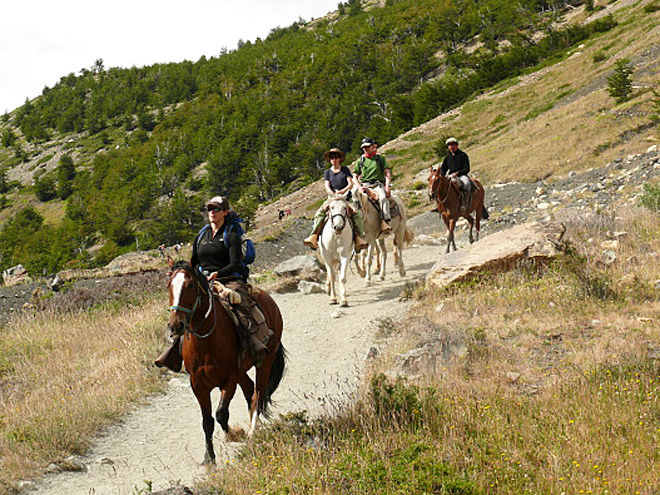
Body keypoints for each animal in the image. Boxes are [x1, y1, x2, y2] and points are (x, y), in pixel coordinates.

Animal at [166, 260, 284, 464]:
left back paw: (253, 431)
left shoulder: (228, 380)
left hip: (265, 362)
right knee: (250, 389)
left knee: (258, 395)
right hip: (242, 371)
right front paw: (209, 460)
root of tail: (269, 300)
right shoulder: (197, 384)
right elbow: (207, 421)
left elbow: (221, 414)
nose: (176, 325)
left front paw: (236, 434)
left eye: (190, 286)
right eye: (169, 286)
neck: (206, 342)